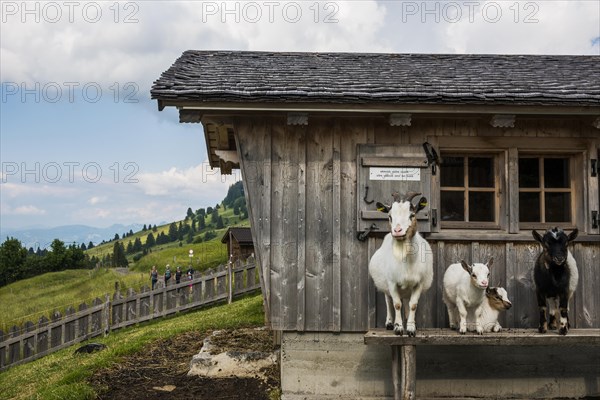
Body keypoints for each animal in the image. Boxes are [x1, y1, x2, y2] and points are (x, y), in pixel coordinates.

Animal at [368, 192, 434, 336]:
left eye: (412, 215)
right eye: (390, 216)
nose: (397, 231)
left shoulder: (418, 283)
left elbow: (413, 305)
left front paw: (411, 328)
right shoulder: (392, 282)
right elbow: (396, 304)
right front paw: (398, 328)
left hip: (407, 289)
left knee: (407, 302)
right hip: (386, 286)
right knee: (388, 300)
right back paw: (389, 323)